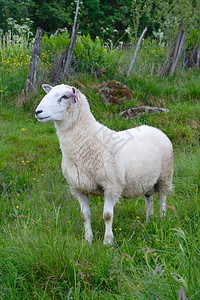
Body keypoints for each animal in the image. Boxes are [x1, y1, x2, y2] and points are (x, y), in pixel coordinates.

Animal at [35, 83, 173, 245]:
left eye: (65, 96)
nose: (38, 112)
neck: (87, 140)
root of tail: (153, 128)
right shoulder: (78, 187)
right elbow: (84, 215)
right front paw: (88, 240)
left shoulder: (112, 185)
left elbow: (107, 215)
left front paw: (107, 242)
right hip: (147, 180)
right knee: (149, 197)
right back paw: (149, 220)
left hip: (165, 176)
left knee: (162, 198)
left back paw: (162, 221)